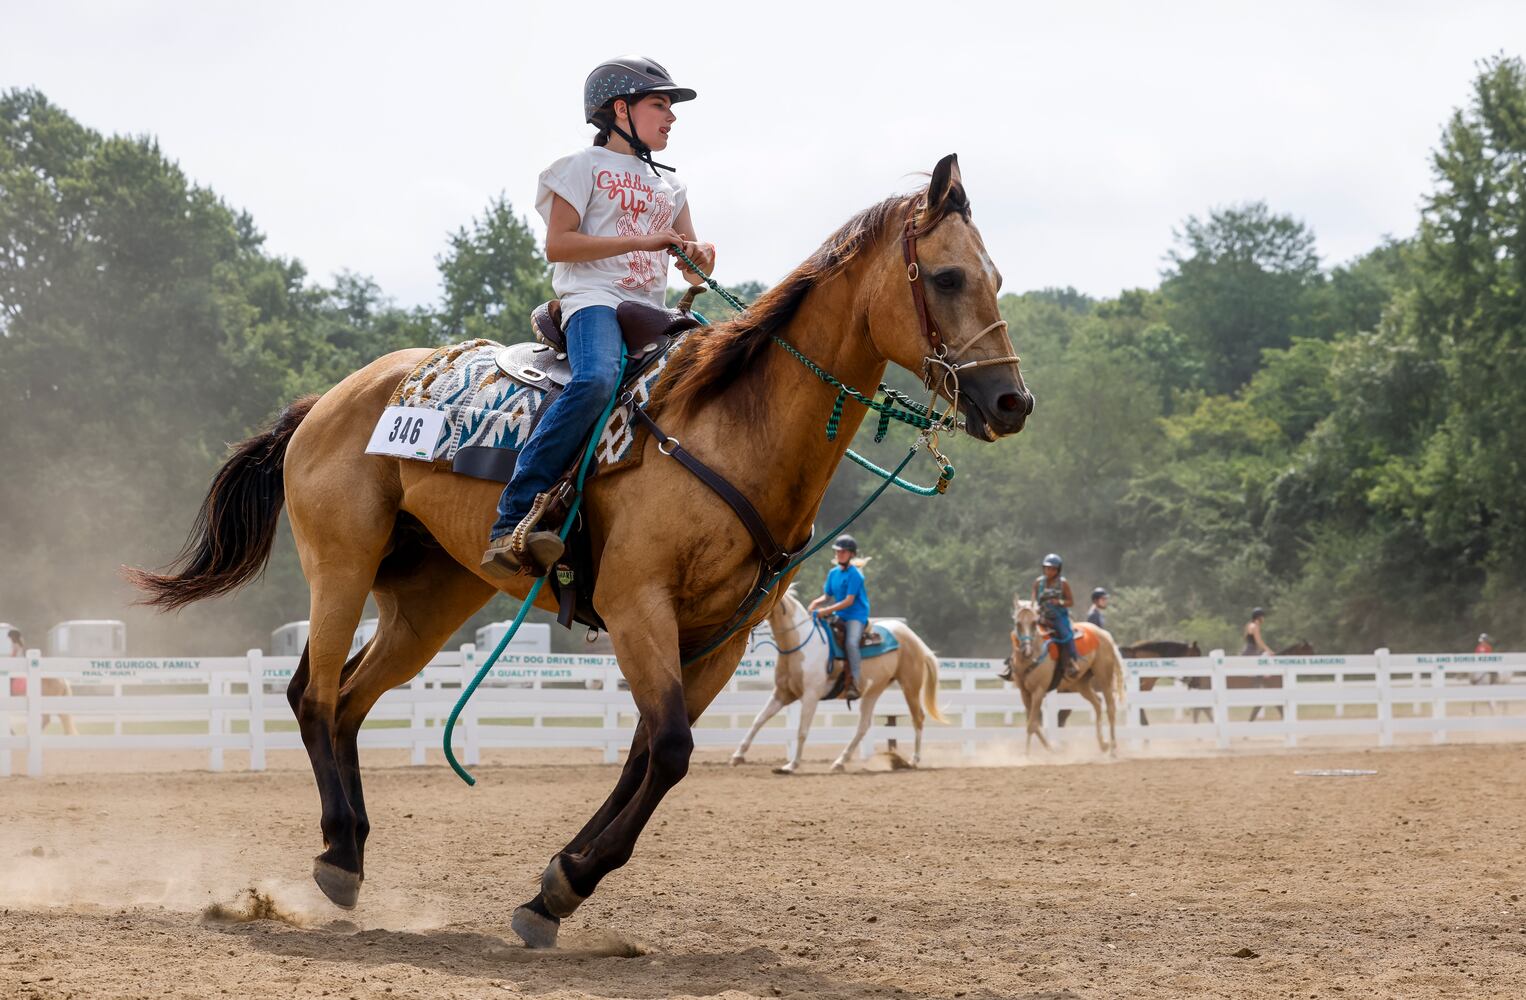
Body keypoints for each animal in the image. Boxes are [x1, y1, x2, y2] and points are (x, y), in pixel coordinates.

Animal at [726, 586, 940, 775]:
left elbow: (802, 731)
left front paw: (791, 765)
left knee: (918, 718)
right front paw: (737, 756)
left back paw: (914, 760)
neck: (799, 644)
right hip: (874, 690)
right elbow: (758, 720)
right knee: (863, 726)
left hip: (910, 685)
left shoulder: (810, 696)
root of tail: (910, 635)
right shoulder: (783, 693)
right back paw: (839, 762)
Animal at [1007, 598, 1129, 754]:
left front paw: (1029, 754)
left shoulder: (1039, 691)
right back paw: (1103, 744)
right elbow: (1034, 724)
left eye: (1034, 623)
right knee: (1097, 702)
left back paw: (1113, 748)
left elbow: (1032, 725)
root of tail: (1104, 634)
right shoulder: (1024, 692)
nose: (1026, 651)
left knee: (1111, 708)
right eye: (1018, 623)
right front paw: (1045, 749)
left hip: (1104, 677)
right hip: (1080, 683)